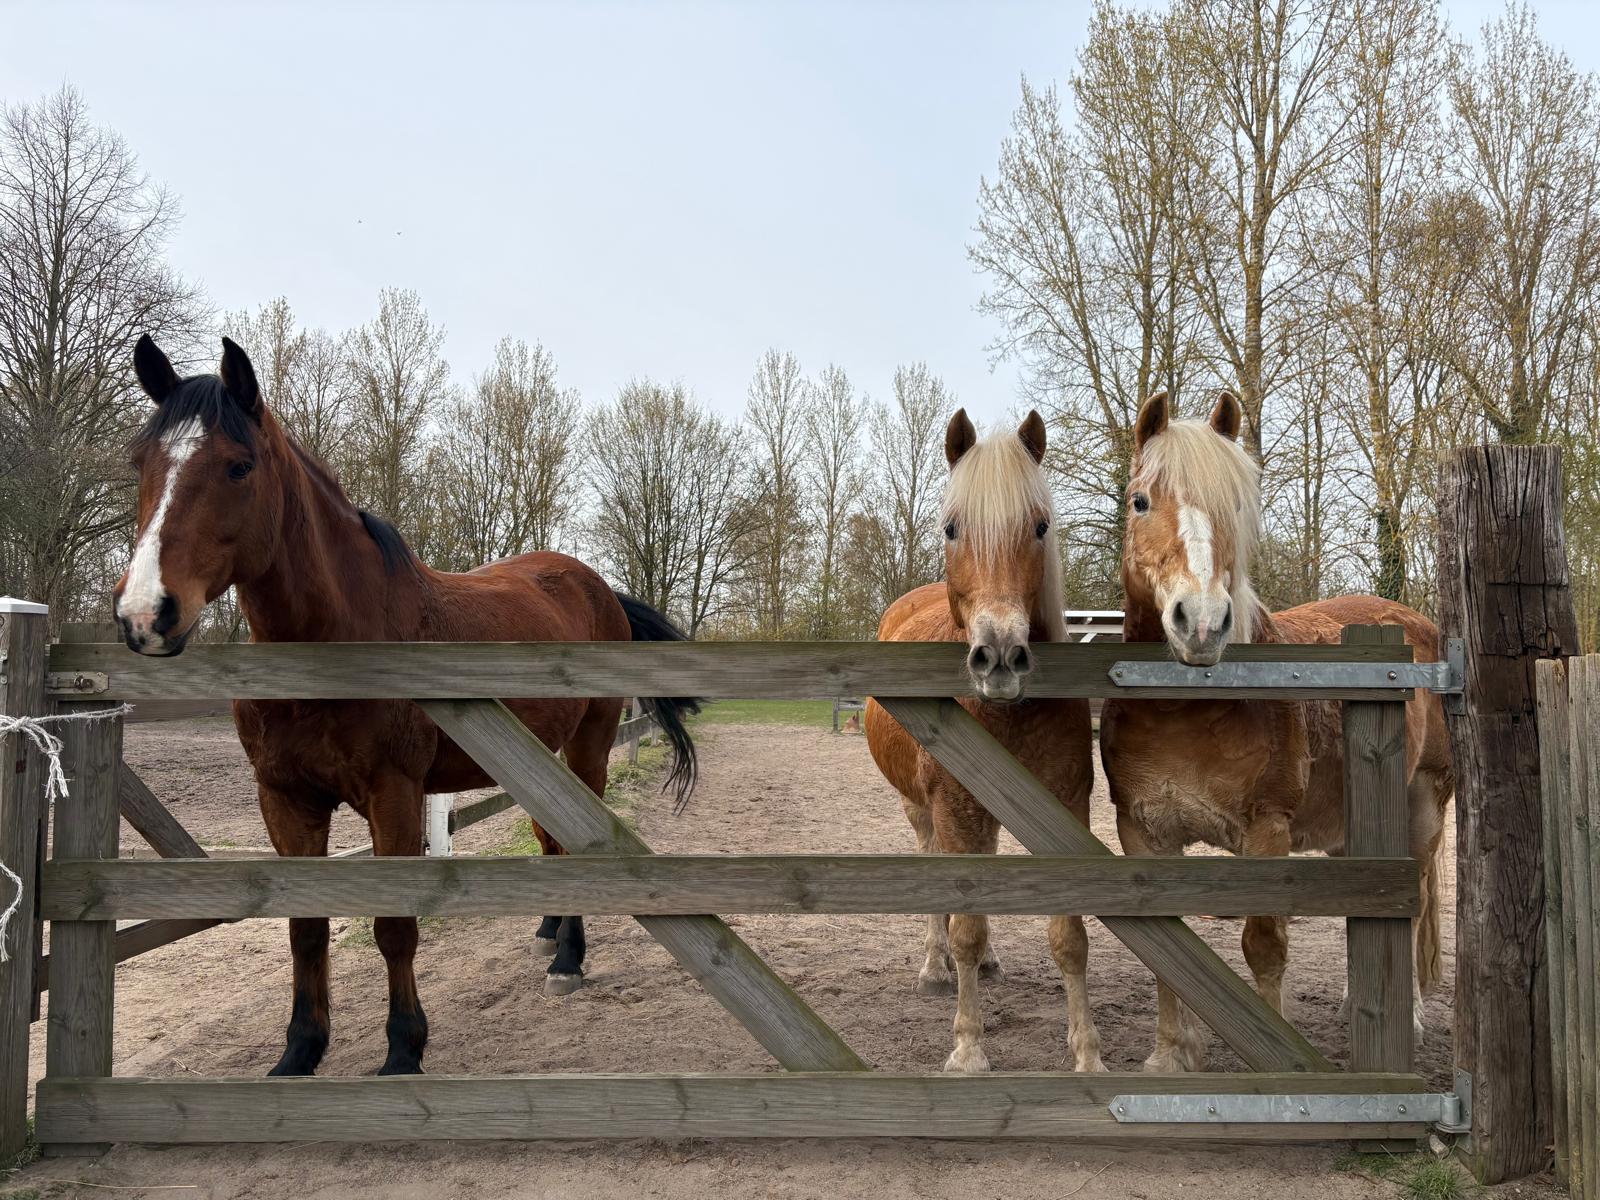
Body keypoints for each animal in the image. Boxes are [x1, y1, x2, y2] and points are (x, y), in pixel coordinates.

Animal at [113, 335, 699, 1077]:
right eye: (141, 463)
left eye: (238, 467)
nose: (145, 614)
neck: (338, 642)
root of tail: (593, 584)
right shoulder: (285, 799)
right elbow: (304, 927)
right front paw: (299, 1052)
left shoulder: (393, 793)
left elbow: (394, 926)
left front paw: (402, 1051)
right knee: (551, 837)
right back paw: (546, 931)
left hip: (587, 748)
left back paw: (568, 958)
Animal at [865, 409, 1104, 1075]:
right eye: (952, 528)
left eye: (1040, 526)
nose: (998, 658)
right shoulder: (952, 808)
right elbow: (964, 929)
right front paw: (968, 1046)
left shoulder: (1065, 809)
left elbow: (1069, 938)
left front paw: (1086, 1052)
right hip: (923, 810)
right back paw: (934, 965)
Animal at [1099, 390, 1453, 1072]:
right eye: (1140, 501)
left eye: (1233, 505)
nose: (1201, 622)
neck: (1186, 711)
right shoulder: (1144, 831)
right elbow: (1164, 942)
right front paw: (1170, 1055)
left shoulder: (1267, 830)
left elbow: (1264, 944)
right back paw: (1357, 1004)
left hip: (1423, 805)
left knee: (1417, 900)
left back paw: (1415, 1019)